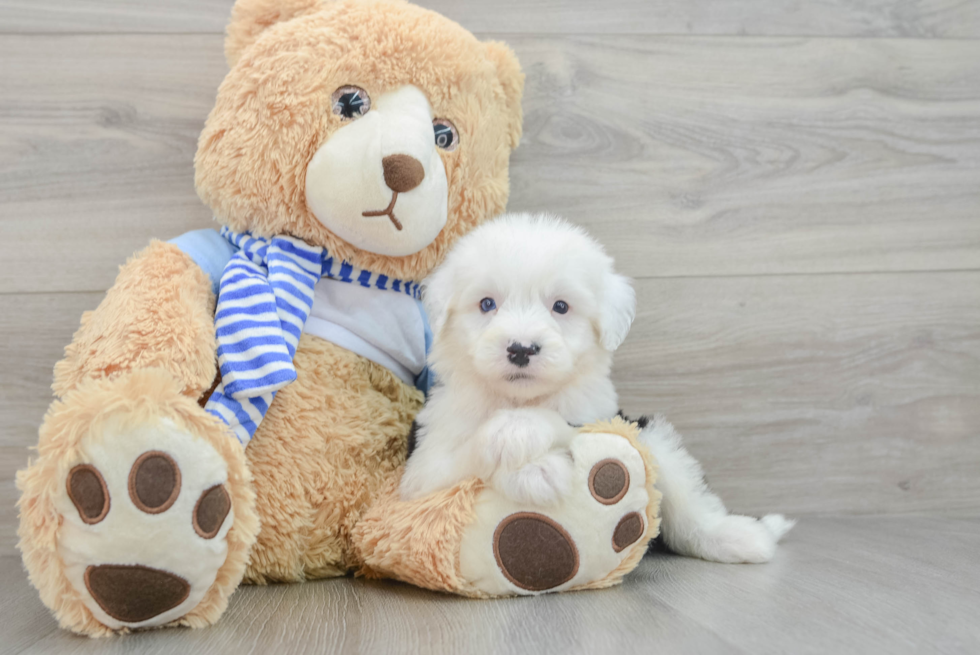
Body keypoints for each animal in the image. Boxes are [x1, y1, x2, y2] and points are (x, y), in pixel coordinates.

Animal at [402, 214, 792, 564]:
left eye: (560, 306)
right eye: (487, 304)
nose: (521, 349)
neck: (518, 397)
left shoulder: (603, 416)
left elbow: (567, 425)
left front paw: (522, 436)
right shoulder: (422, 472)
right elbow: (455, 463)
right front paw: (535, 469)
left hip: (653, 438)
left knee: (690, 503)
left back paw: (743, 537)